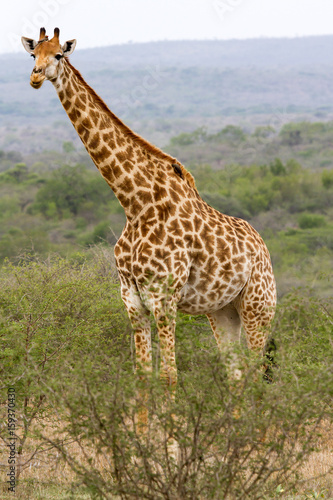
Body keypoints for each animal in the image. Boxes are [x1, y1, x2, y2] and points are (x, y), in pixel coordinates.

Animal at [21, 28, 274, 390]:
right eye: (33, 55)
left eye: (58, 55)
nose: (36, 76)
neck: (136, 205)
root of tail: (262, 245)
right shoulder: (132, 300)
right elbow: (142, 376)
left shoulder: (164, 298)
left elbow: (169, 376)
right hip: (222, 310)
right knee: (236, 375)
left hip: (258, 305)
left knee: (257, 375)